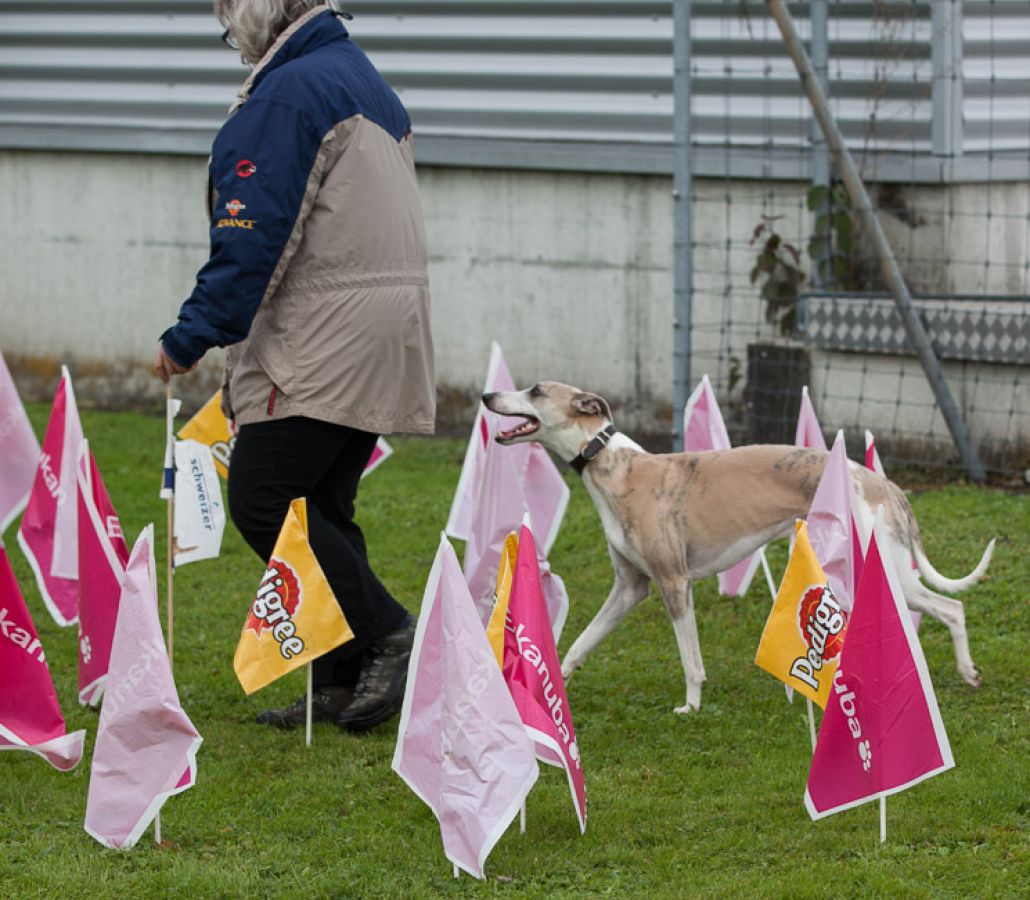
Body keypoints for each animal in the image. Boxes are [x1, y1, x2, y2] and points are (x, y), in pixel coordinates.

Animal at [483, 381, 994, 715]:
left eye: (535, 390)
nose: (487, 397)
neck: (616, 467)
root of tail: (883, 484)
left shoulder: (674, 582)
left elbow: (690, 659)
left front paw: (690, 706)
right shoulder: (630, 588)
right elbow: (580, 643)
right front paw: (553, 686)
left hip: (880, 565)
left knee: (951, 608)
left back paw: (967, 672)